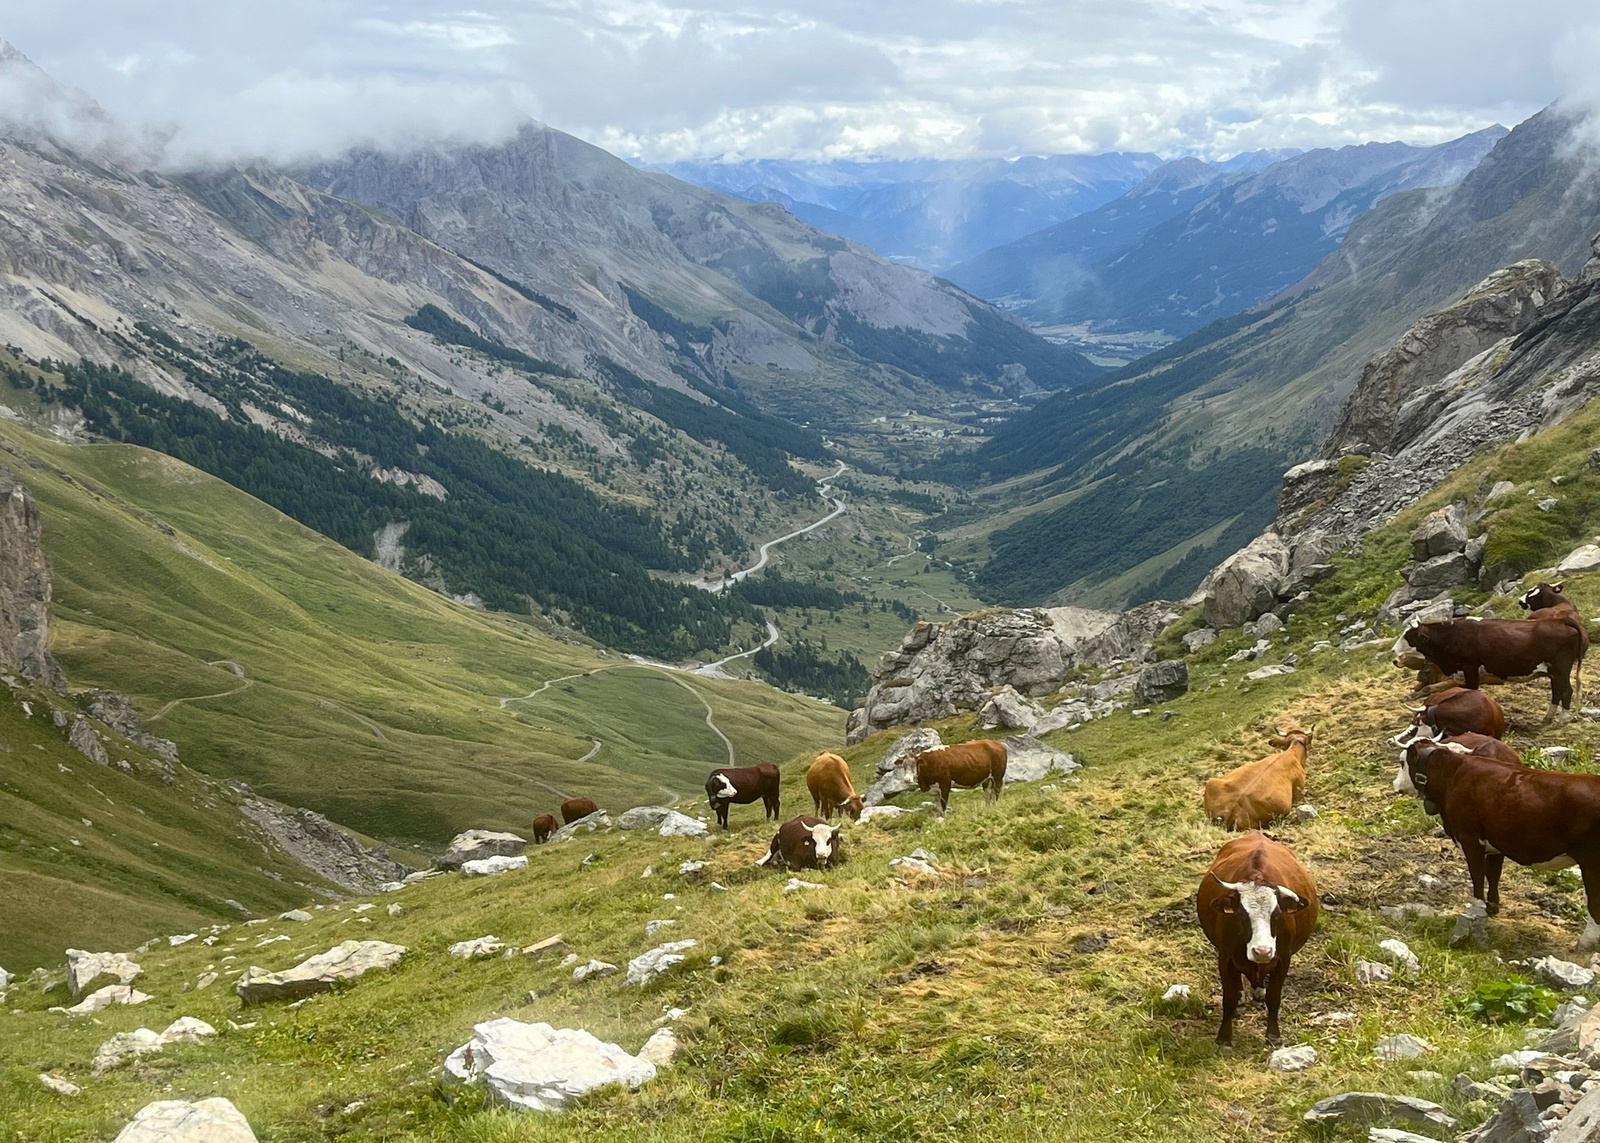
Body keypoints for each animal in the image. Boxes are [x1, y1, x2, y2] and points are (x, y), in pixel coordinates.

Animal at [1196, 826, 1318, 1043]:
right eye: (1242, 916)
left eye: (1277, 915)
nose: (1262, 951)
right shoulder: (1225, 958)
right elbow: (1229, 998)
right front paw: (1224, 1037)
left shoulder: (1283, 959)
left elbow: (1274, 997)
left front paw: (1273, 1035)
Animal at [1395, 733, 1600, 941]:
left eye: (1402, 762)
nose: (1395, 784)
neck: (1453, 774)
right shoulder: (1497, 841)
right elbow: (1493, 874)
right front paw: (1492, 906)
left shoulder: (1470, 838)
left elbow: (1477, 875)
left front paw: (1477, 910)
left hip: (1591, 861)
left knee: (1594, 900)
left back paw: (1586, 941)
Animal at [1401, 617, 1587, 717]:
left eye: (1408, 637)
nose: (1396, 657)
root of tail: (1561, 620)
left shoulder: (1470, 668)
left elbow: (1471, 690)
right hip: (1553, 672)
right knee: (1557, 692)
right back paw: (1547, 718)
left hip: (1561, 668)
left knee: (1567, 690)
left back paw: (1563, 719)